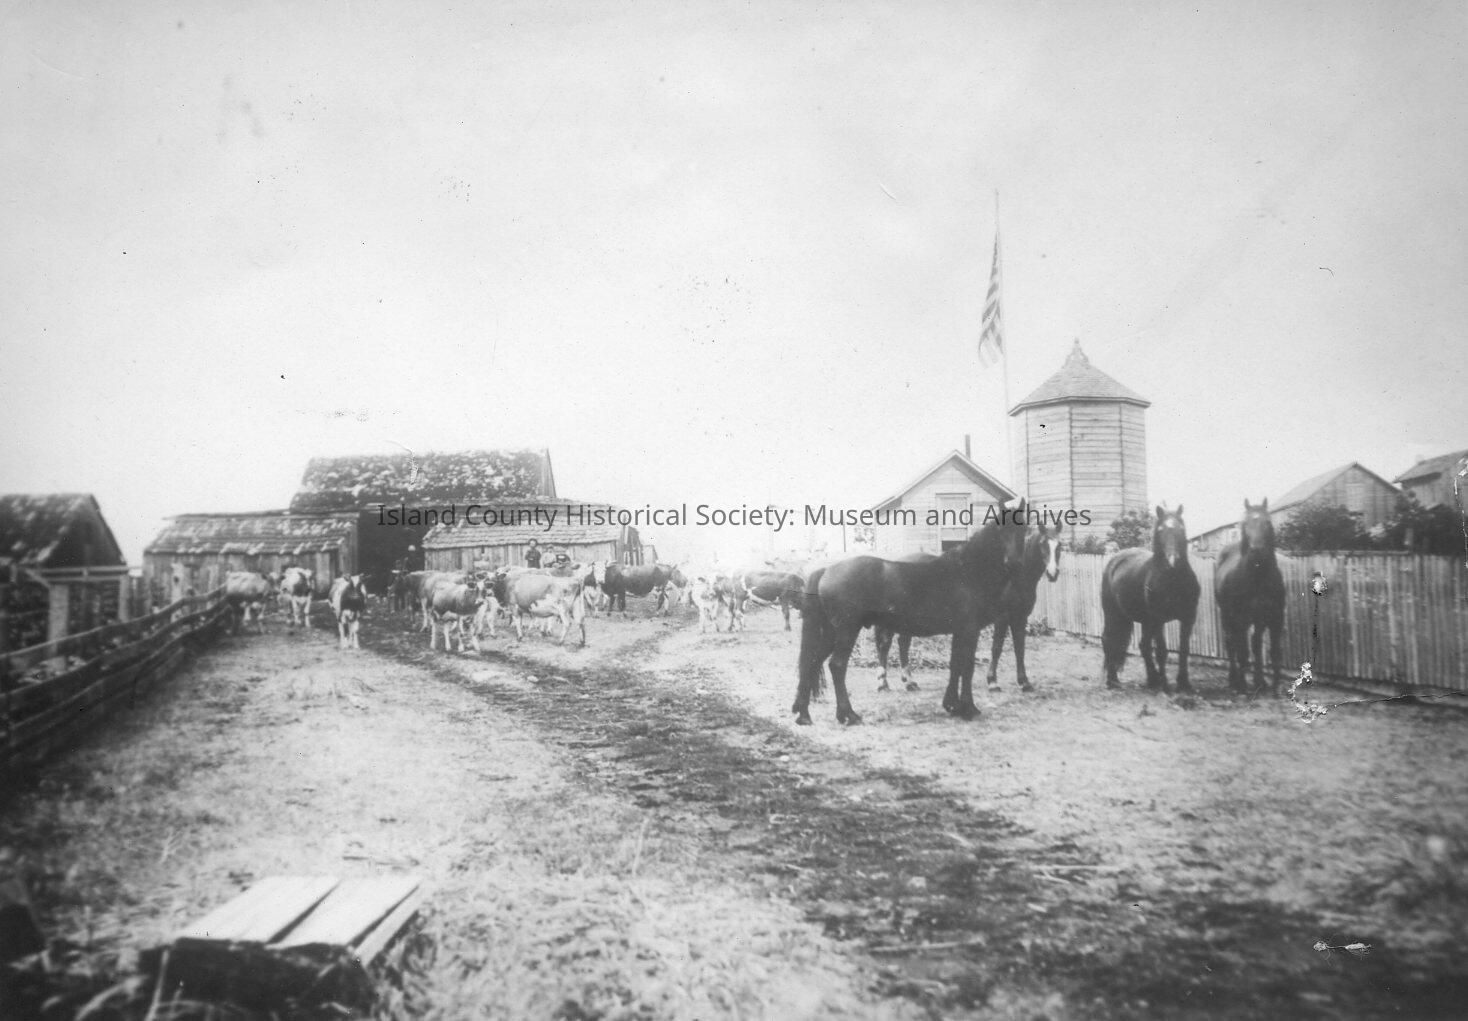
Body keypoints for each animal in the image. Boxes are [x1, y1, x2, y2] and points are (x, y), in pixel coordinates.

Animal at [793, 502, 1029, 725]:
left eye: (1024, 528)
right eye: (1001, 529)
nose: (1015, 562)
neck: (967, 572)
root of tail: (827, 569)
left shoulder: (959, 631)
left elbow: (955, 665)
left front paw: (952, 705)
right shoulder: (970, 630)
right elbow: (967, 666)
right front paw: (969, 708)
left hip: (830, 632)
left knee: (812, 662)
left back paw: (804, 715)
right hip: (847, 631)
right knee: (837, 666)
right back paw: (849, 715)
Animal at [986, 524, 1062, 691]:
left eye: (1060, 545)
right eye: (1042, 543)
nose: (1052, 573)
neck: (1015, 577)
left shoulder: (1021, 617)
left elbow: (1020, 648)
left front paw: (1024, 681)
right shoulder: (1002, 618)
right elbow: (997, 647)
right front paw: (992, 681)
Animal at [1101, 505, 1201, 692]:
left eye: (1181, 528)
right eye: (1160, 530)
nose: (1172, 560)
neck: (1173, 578)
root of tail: (1115, 560)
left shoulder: (1188, 617)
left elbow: (1184, 649)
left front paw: (1184, 683)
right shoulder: (1158, 619)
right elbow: (1161, 651)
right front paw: (1166, 685)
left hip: (1145, 621)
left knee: (1143, 646)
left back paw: (1152, 680)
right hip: (1113, 614)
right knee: (1108, 640)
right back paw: (1113, 680)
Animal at [1214, 498, 1285, 694]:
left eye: (1267, 522)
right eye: (1245, 524)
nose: (1256, 551)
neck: (1258, 577)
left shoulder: (1274, 617)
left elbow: (1273, 652)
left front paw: (1274, 687)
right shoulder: (1241, 619)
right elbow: (1243, 652)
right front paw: (1243, 686)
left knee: (1255, 643)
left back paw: (1259, 681)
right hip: (1227, 616)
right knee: (1231, 644)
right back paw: (1234, 680)